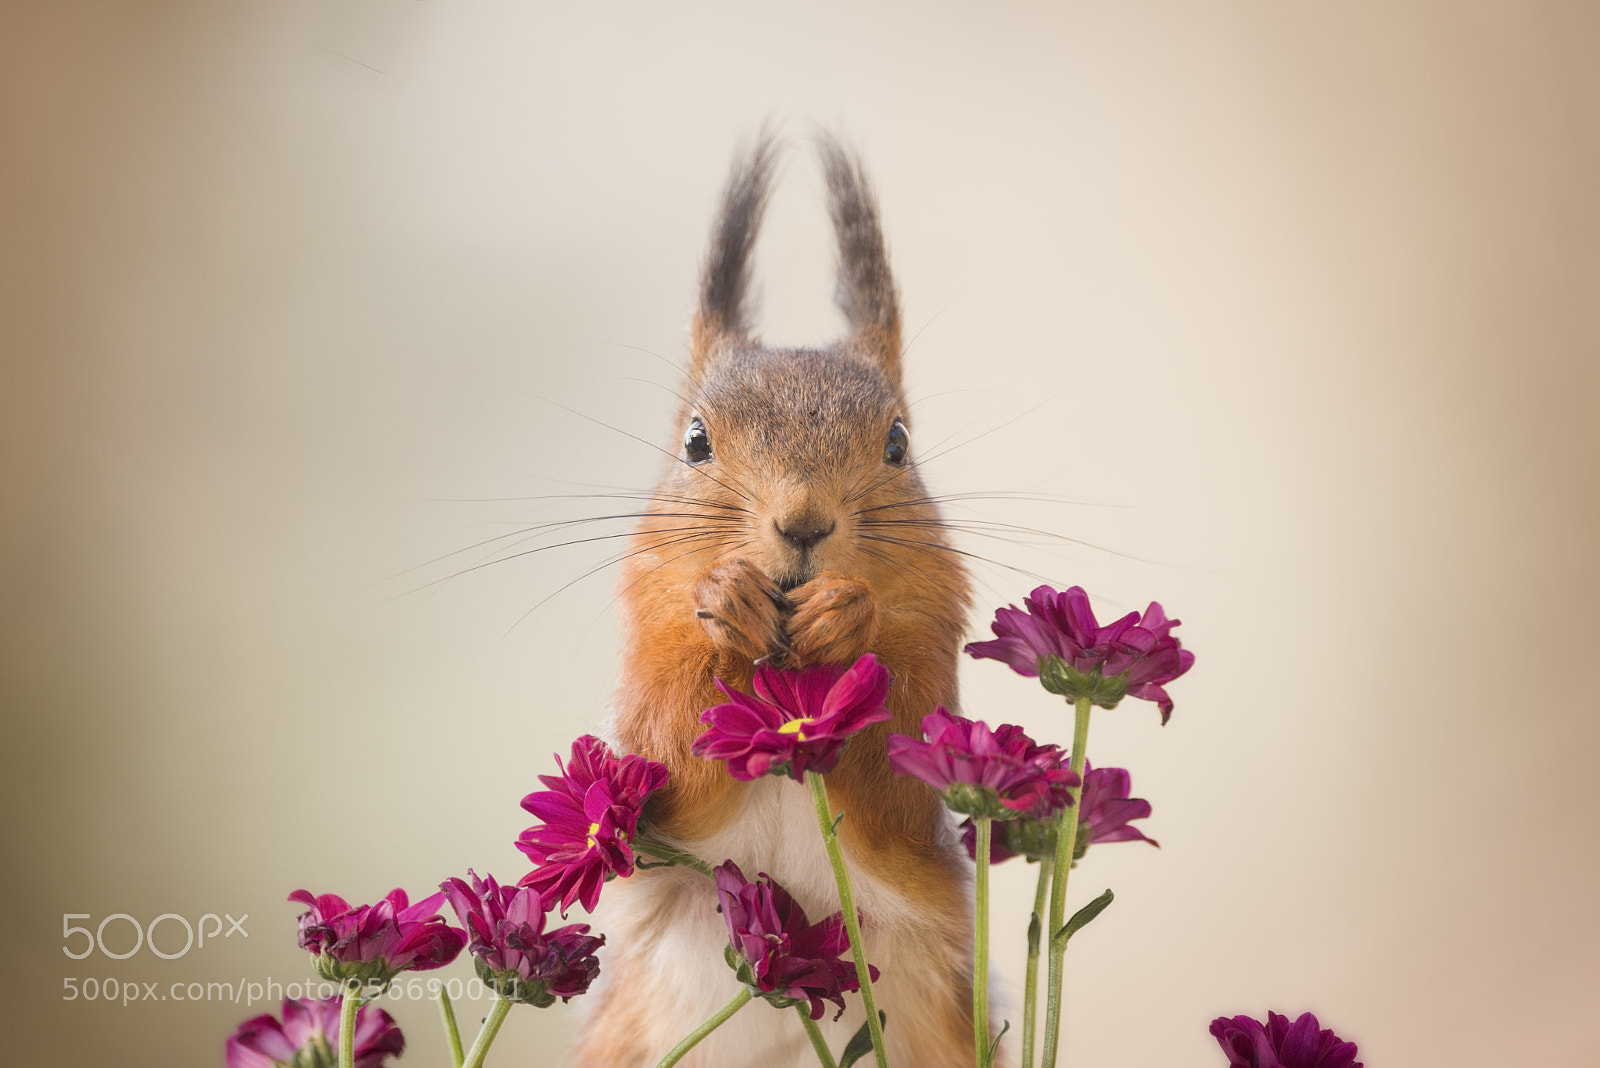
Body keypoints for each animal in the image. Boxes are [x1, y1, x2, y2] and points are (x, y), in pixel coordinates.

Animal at [577, 134, 982, 1067]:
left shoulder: (930, 665)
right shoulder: (650, 668)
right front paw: (726, 601)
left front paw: (847, 613)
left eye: (899, 443)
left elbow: (897, 779)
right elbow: (668, 743)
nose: (803, 525)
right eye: (695, 441)